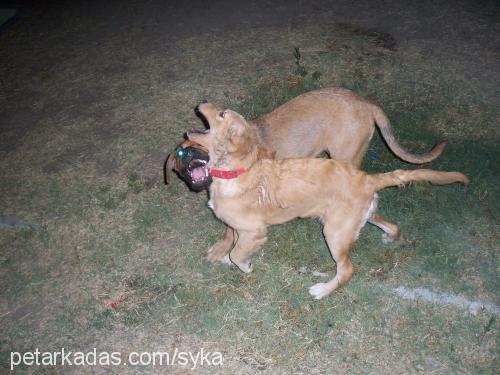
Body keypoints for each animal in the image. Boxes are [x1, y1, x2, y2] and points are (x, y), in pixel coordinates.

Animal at [188, 104, 468, 302]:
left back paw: (322, 290)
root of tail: (367, 179)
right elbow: (232, 245)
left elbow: (237, 253)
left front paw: (244, 265)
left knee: (347, 270)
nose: (202, 101)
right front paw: (227, 257)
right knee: (389, 223)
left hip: (334, 234)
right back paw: (390, 237)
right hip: (356, 220)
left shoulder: (254, 231)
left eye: (222, 113)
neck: (236, 170)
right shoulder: (239, 229)